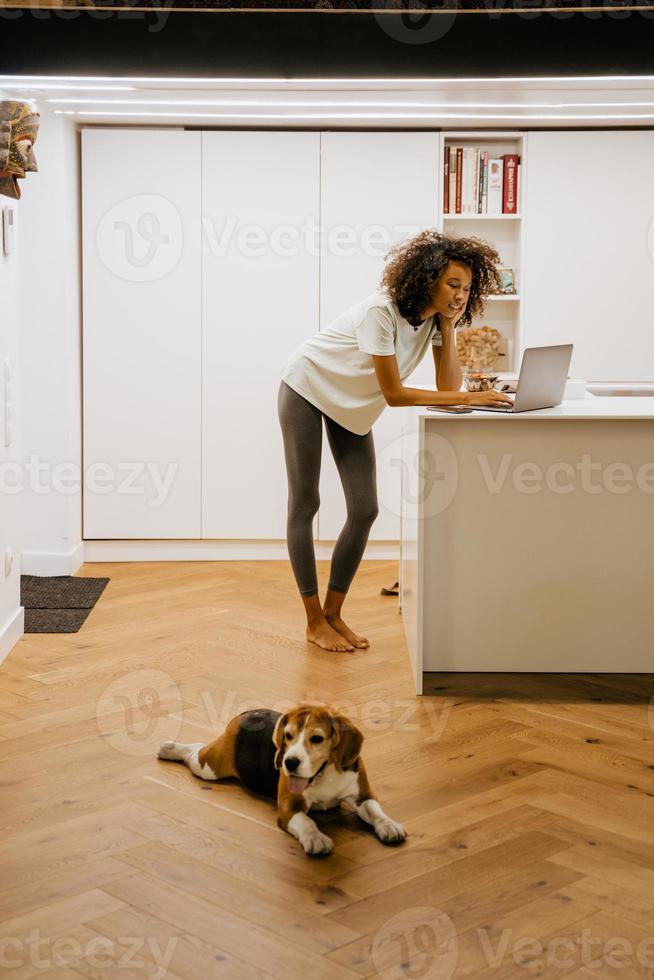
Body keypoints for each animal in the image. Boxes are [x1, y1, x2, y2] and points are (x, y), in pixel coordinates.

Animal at [156, 700, 408, 852]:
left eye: (317, 738)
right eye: (288, 736)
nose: (289, 762)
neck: (323, 774)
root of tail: (249, 712)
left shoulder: (363, 795)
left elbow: (376, 812)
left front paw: (389, 826)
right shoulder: (289, 806)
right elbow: (307, 822)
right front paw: (316, 839)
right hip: (209, 768)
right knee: (195, 752)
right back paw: (170, 748)